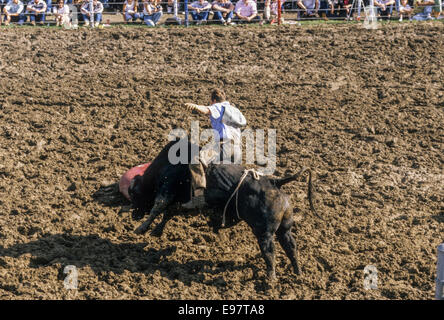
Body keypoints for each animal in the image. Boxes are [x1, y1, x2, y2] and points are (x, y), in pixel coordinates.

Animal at [128, 139, 320, 278]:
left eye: (134, 194)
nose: (133, 215)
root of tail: (275, 182)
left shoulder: (167, 188)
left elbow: (158, 208)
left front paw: (141, 228)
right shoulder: (179, 200)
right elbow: (168, 213)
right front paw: (156, 231)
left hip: (263, 231)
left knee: (269, 251)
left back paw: (271, 277)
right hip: (285, 227)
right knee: (291, 246)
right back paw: (298, 272)